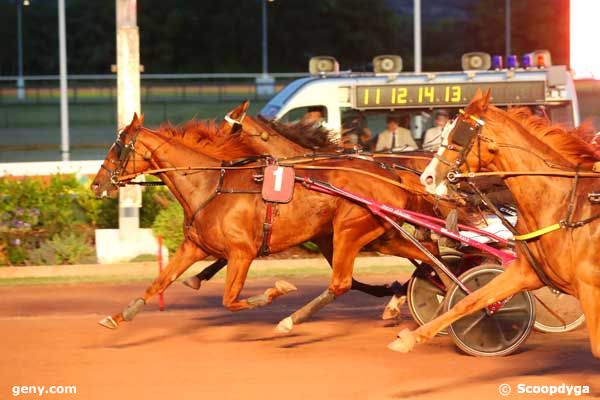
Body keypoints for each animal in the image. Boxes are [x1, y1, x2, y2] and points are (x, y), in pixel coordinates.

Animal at [91, 114, 434, 330]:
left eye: (118, 147)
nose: (96, 184)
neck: (212, 185)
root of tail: (393, 174)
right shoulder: (194, 246)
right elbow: (160, 281)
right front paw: (119, 316)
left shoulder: (242, 253)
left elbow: (231, 300)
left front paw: (275, 291)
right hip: (377, 234)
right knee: (427, 258)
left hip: (350, 231)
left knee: (342, 282)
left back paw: (291, 320)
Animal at [390, 90, 600, 356]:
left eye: (459, 132)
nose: (427, 177)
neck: (564, 204)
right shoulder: (525, 272)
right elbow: (472, 300)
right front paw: (409, 338)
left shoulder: (590, 288)